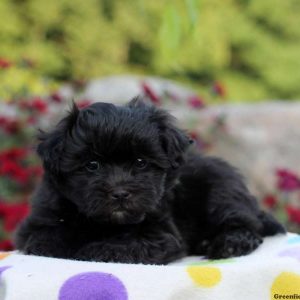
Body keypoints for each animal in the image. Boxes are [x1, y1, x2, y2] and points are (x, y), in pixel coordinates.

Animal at [14, 98, 286, 262]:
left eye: (141, 162)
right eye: (92, 165)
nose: (120, 193)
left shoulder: (161, 235)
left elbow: (125, 245)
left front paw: (92, 250)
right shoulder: (40, 219)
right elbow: (45, 237)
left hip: (222, 192)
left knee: (246, 224)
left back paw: (229, 243)